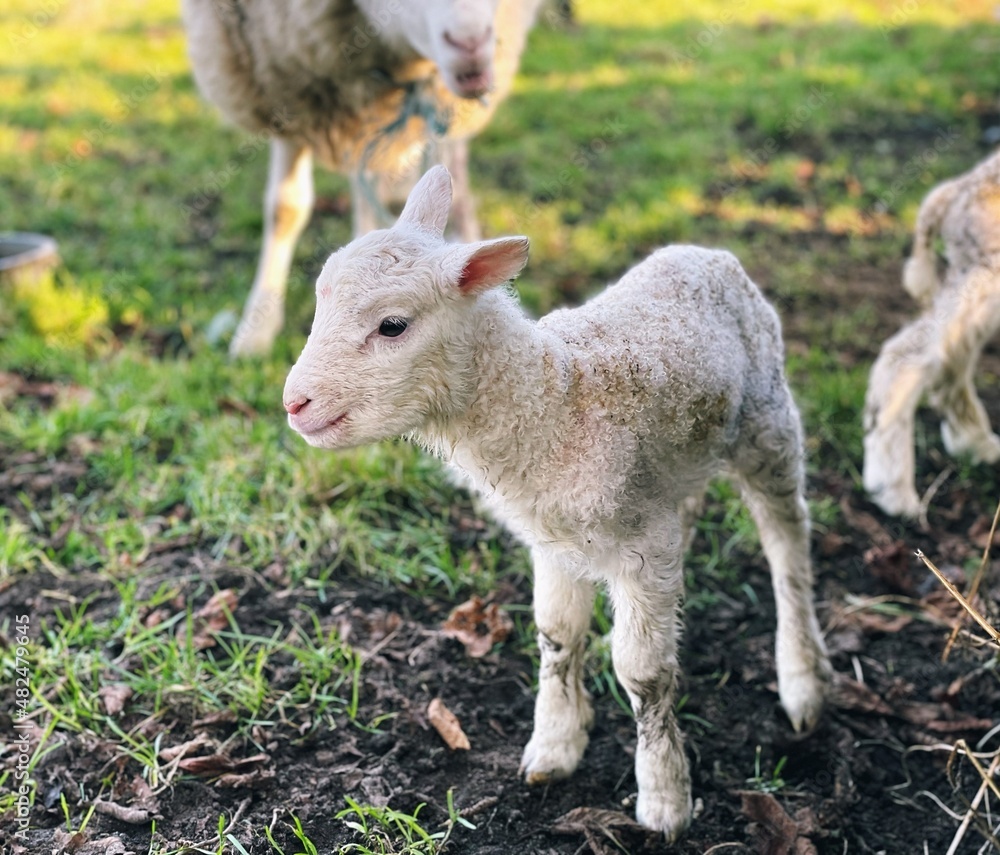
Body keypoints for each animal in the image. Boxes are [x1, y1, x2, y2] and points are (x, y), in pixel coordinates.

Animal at [282, 166, 831, 840]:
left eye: (392, 326)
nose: (295, 404)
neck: (555, 397)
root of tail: (708, 253)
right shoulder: (556, 538)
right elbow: (556, 636)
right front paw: (554, 747)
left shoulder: (640, 542)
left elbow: (642, 673)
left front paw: (664, 799)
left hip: (767, 422)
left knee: (787, 541)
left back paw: (802, 679)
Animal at [863, 148, 1000, 518]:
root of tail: (957, 190)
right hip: (986, 269)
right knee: (909, 355)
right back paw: (894, 492)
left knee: (950, 355)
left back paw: (976, 443)